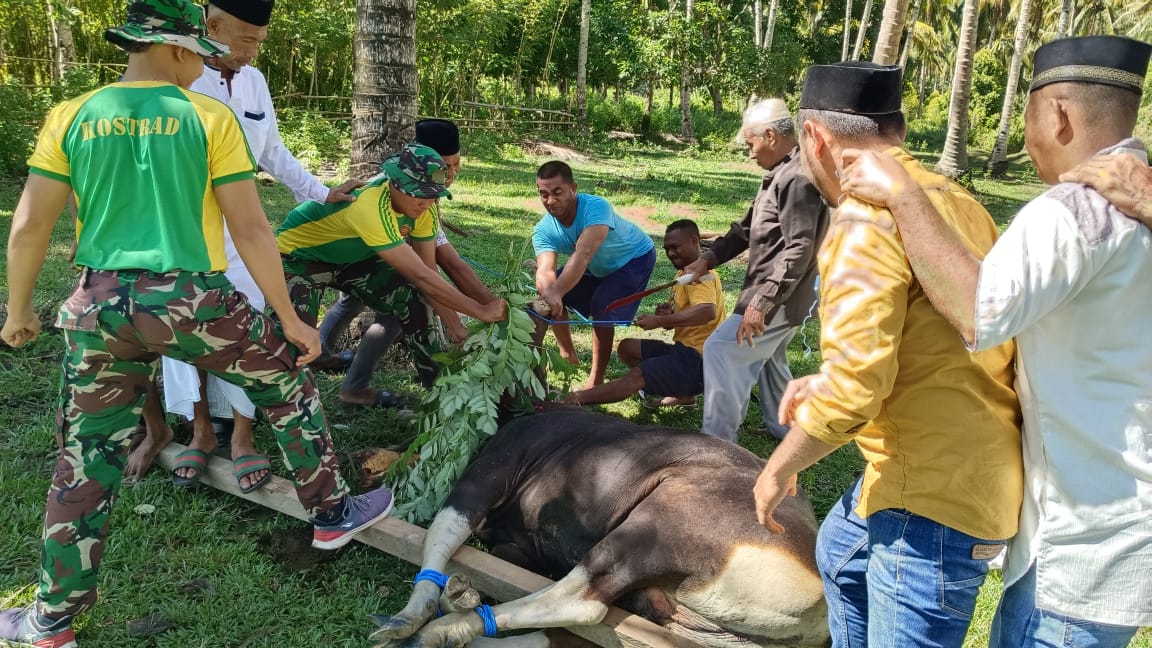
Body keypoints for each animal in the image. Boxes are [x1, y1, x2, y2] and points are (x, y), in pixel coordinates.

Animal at [373, 408, 834, 645]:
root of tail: (820, 598)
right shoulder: (519, 546)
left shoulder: (487, 475)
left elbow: (441, 534)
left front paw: (405, 620)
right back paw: (458, 604)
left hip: (649, 533)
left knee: (582, 601)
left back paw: (441, 628)